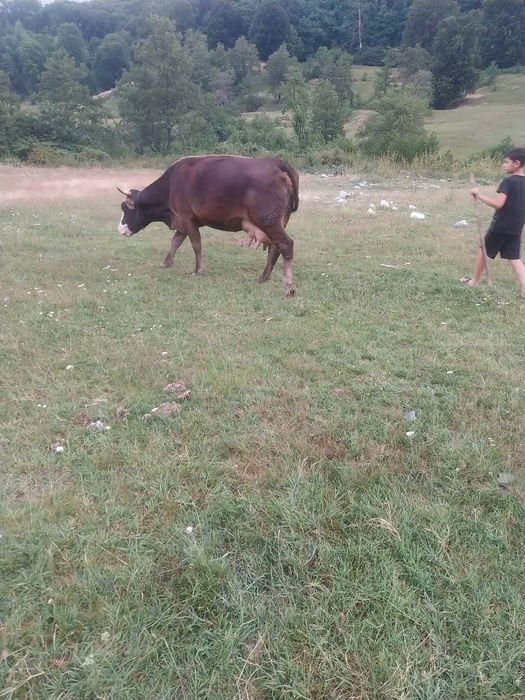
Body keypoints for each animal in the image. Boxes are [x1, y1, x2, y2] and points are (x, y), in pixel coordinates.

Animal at [117, 154, 299, 296]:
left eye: (125, 208)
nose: (119, 229)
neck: (171, 185)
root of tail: (273, 162)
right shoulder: (183, 221)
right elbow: (175, 242)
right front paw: (166, 262)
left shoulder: (186, 219)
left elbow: (196, 244)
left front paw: (198, 270)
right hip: (276, 222)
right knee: (275, 248)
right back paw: (264, 277)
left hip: (269, 221)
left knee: (286, 245)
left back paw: (288, 286)